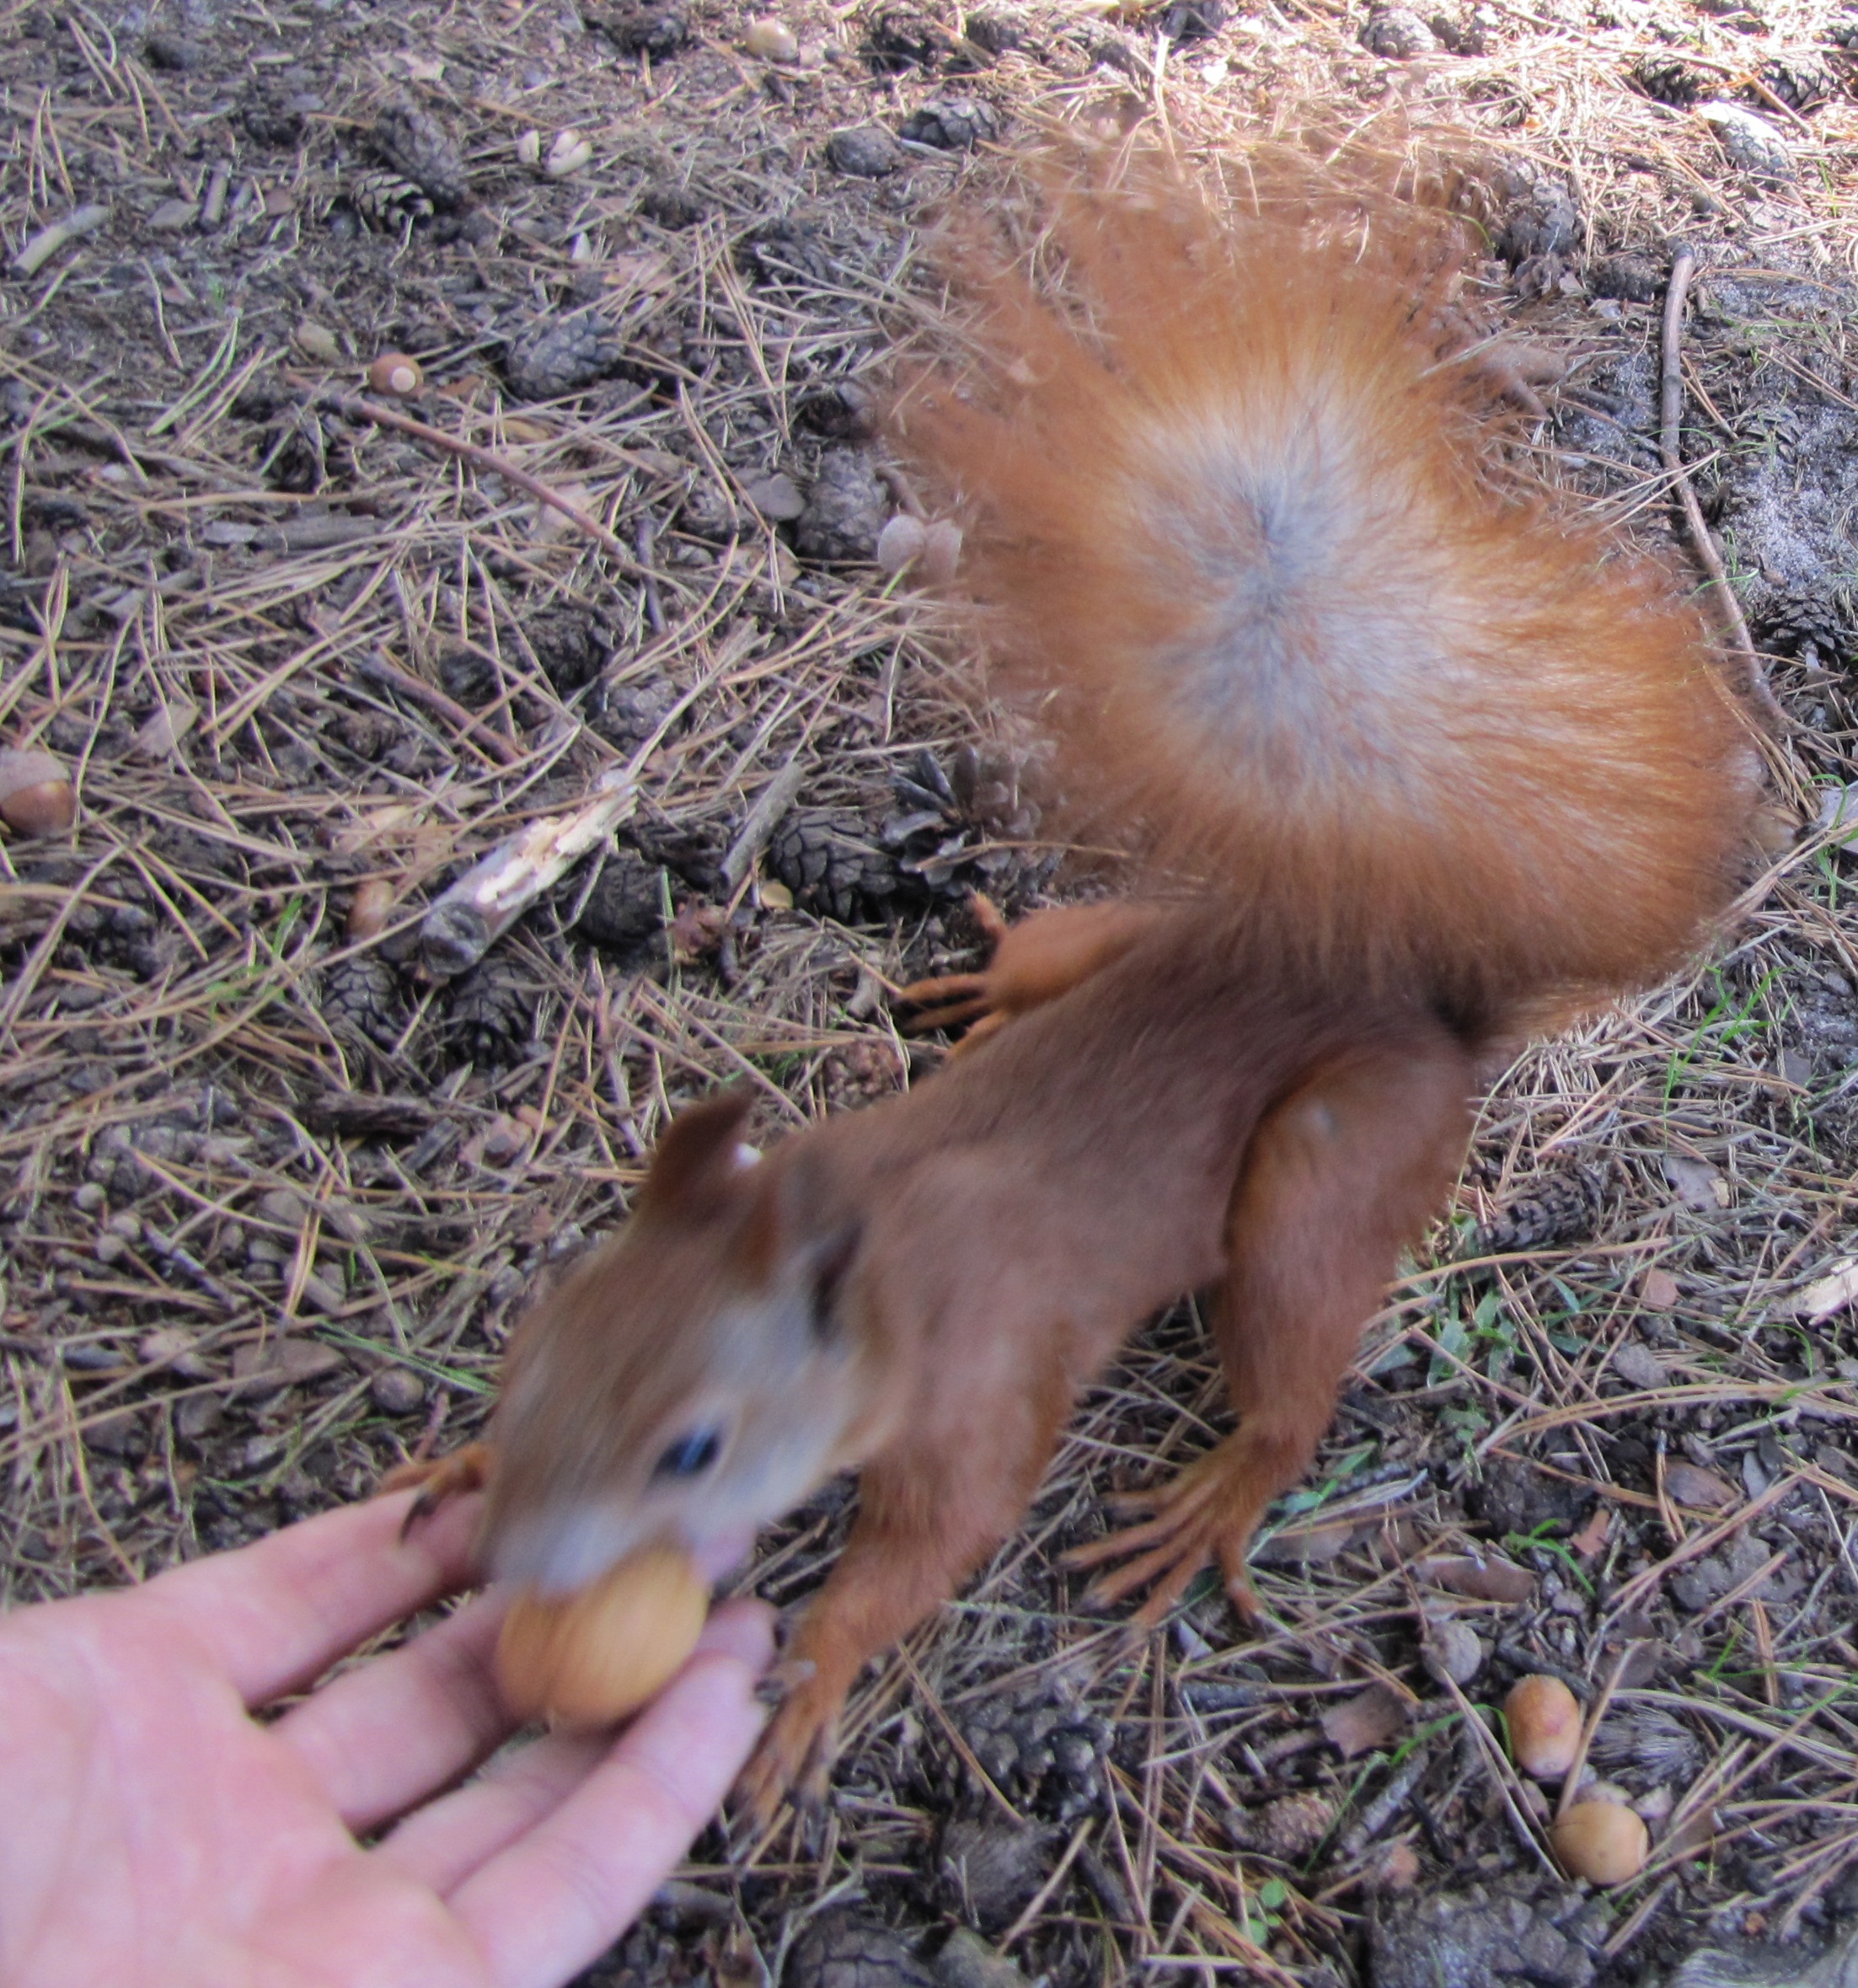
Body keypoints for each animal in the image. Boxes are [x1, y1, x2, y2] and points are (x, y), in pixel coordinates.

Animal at [402, 146, 1761, 1815]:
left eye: (692, 1451)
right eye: (534, 1354)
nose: (521, 1558)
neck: (863, 1245)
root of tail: (1411, 995)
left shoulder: (982, 1379)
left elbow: (941, 1534)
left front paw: (819, 1665)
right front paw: (465, 1465)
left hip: (1324, 1166)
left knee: (1294, 1372)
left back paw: (1219, 1492)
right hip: (1128, 940)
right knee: (1069, 960)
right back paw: (993, 981)